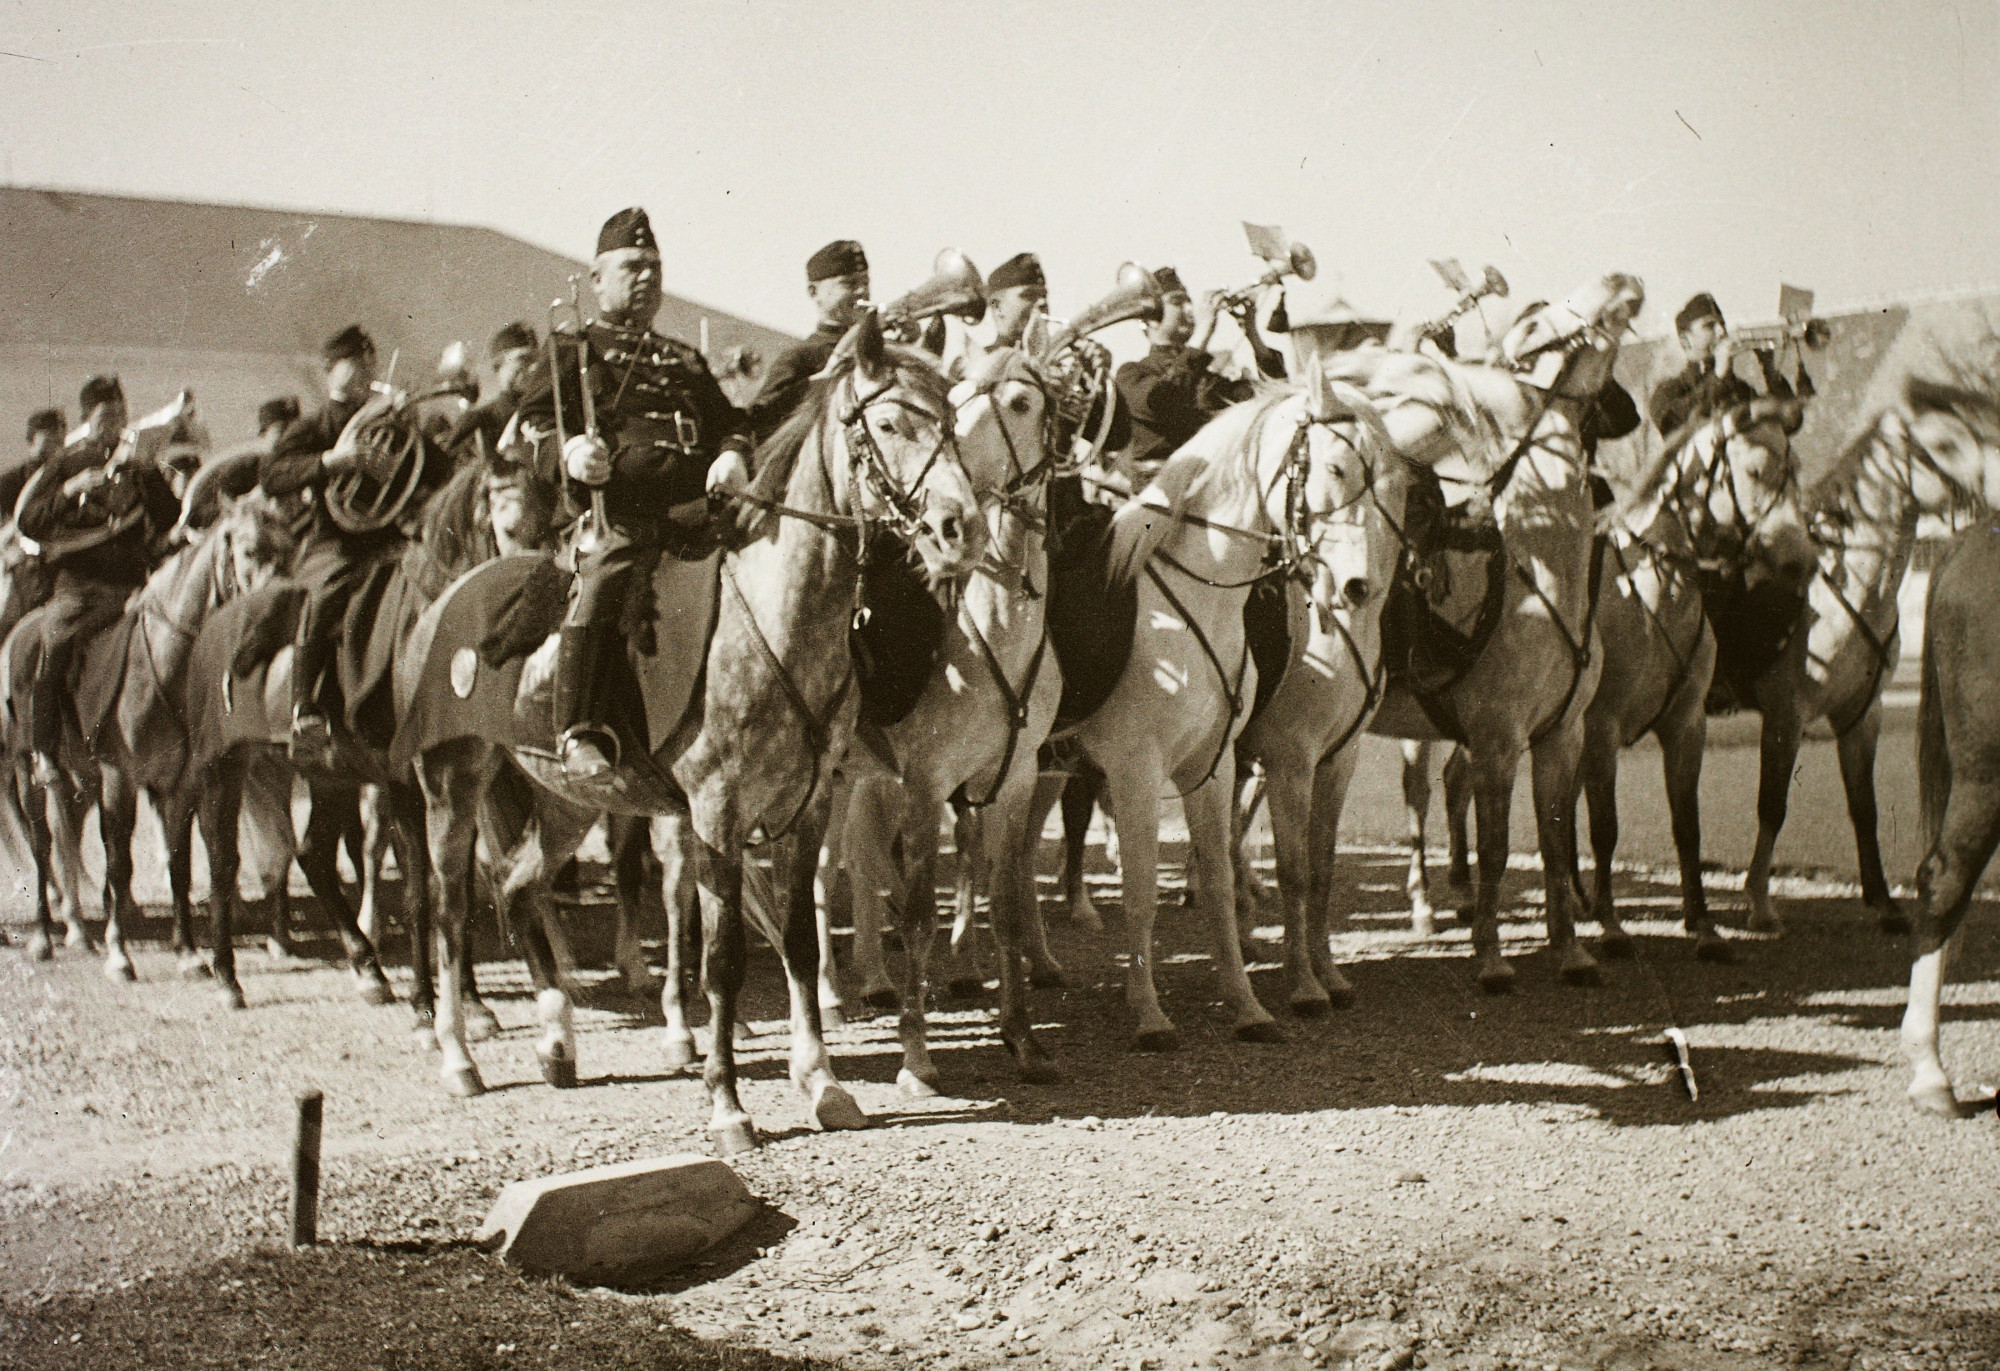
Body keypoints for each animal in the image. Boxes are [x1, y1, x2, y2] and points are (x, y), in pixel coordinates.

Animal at [412, 317, 984, 1151]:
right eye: (887, 424)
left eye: (948, 422)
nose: (958, 527)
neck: (776, 616)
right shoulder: (717, 811)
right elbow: (723, 959)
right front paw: (728, 1103)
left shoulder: (806, 807)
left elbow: (800, 942)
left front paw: (823, 1082)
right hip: (453, 781)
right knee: (453, 909)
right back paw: (459, 1053)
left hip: (567, 800)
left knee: (517, 886)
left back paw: (557, 1042)